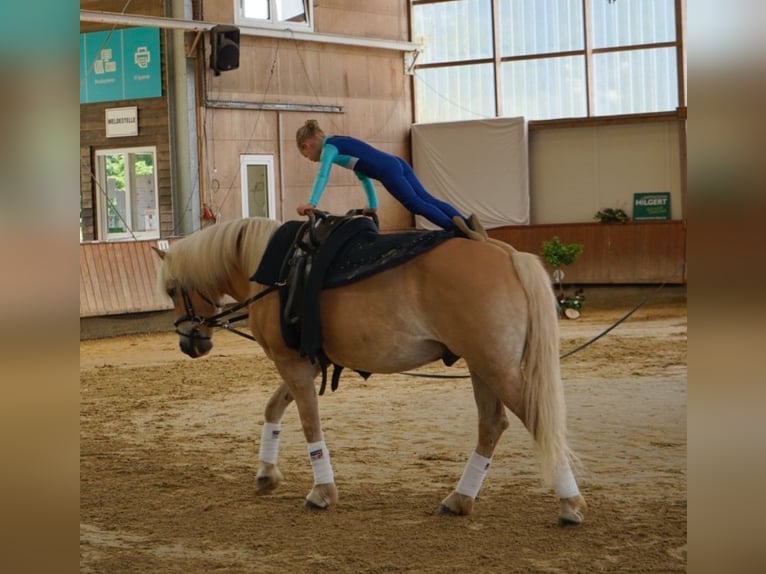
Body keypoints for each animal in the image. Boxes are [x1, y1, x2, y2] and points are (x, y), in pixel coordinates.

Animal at [154, 216, 588, 528]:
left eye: (173, 289)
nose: (190, 342)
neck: (273, 271)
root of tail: (504, 252)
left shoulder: (291, 363)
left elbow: (309, 424)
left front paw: (322, 492)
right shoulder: (306, 363)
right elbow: (273, 409)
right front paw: (266, 474)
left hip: (495, 367)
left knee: (535, 421)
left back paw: (569, 504)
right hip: (482, 366)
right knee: (492, 425)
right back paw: (460, 499)